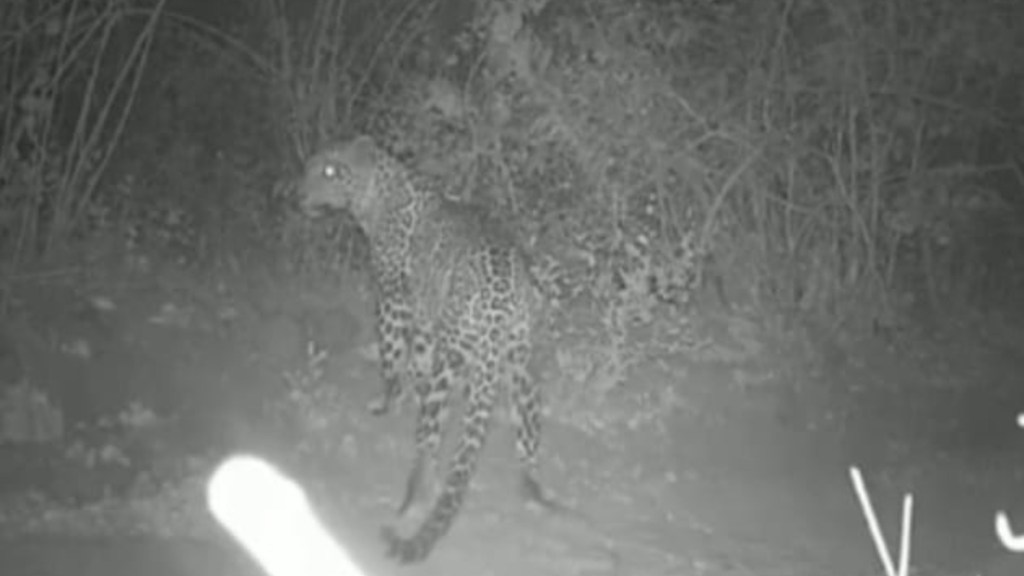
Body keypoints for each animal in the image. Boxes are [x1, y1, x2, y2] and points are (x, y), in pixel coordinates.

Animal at [295, 135, 558, 564]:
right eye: (310, 168)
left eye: (330, 171)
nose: (298, 195)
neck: (375, 198)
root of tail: (500, 298)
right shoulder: (423, 318)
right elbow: (417, 359)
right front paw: (408, 392)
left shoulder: (392, 300)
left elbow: (391, 358)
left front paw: (387, 401)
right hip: (521, 360)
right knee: (528, 429)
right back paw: (535, 490)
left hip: (455, 357)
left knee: (429, 442)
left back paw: (414, 498)